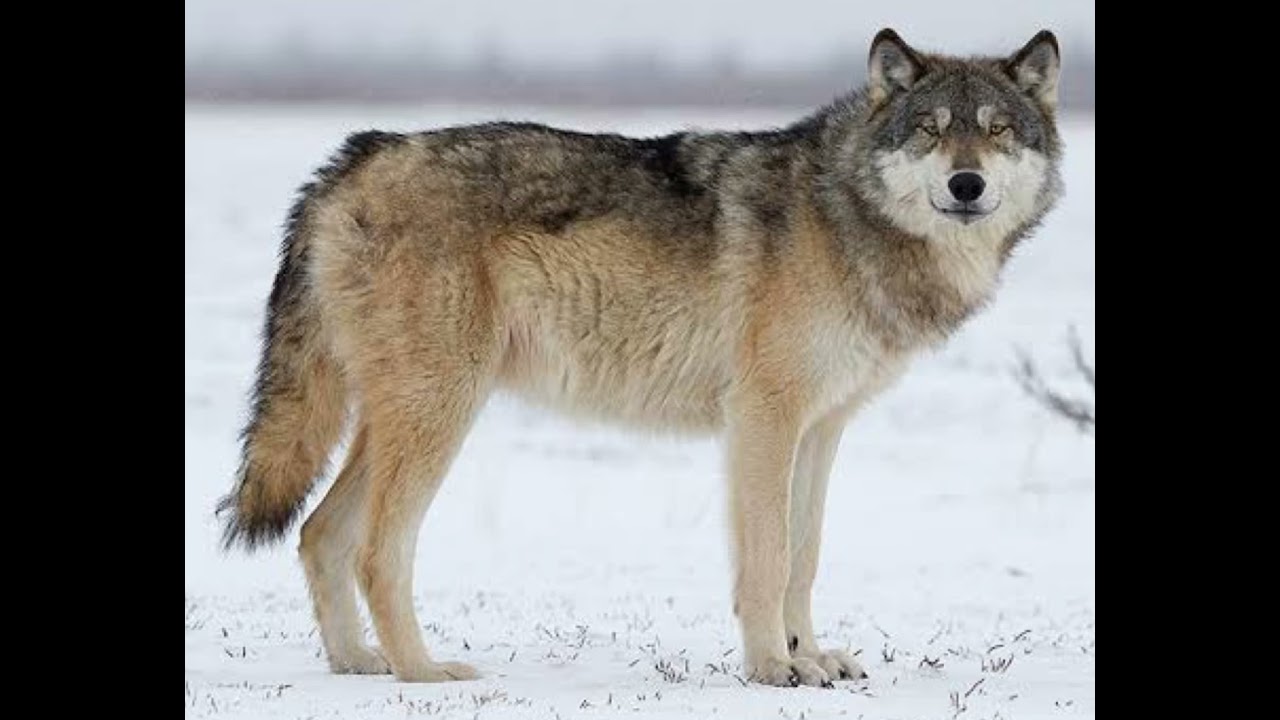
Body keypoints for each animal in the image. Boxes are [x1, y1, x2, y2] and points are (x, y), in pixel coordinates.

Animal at [217, 28, 1063, 687]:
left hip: (402, 418)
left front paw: (811, 657)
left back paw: (358, 663)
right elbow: (766, 558)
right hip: (438, 415)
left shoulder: (821, 430)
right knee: (374, 550)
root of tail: (356, 155)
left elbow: (804, 555)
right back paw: (422, 671)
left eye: (997, 131)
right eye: (931, 130)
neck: (844, 214)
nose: (966, 184)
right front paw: (771, 668)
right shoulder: (763, 420)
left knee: (318, 532)